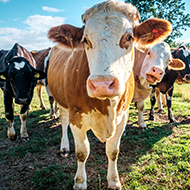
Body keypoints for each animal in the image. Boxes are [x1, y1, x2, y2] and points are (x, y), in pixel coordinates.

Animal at [46, 0, 173, 189]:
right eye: (85, 39)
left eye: (129, 37)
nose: (102, 84)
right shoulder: (76, 117)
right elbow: (82, 152)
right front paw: (80, 182)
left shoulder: (123, 117)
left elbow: (113, 151)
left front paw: (114, 181)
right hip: (61, 101)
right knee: (63, 121)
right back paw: (64, 146)